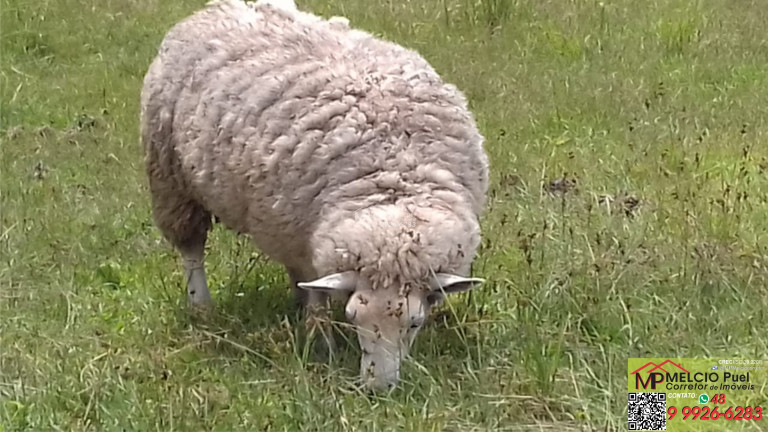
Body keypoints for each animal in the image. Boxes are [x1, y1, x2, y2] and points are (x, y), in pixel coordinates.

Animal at [140, 0, 488, 392]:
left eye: (415, 323)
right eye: (353, 318)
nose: (377, 389)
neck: (392, 183)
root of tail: (218, 7)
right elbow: (319, 300)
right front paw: (321, 340)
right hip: (171, 176)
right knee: (191, 249)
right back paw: (201, 304)